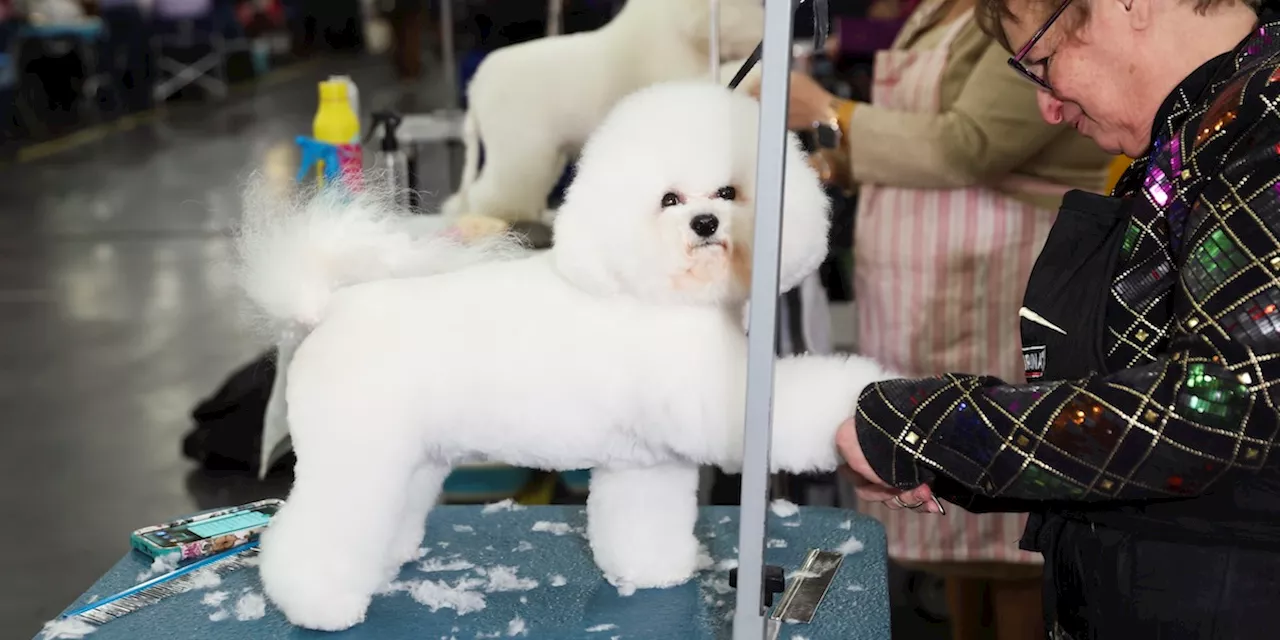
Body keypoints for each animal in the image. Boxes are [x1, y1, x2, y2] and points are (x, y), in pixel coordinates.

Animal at [235, 78, 896, 629]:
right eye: (669, 200)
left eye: (729, 191)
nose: (707, 223)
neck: (653, 288)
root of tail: (328, 308)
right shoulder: (718, 405)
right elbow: (795, 405)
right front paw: (862, 399)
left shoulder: (648, 463)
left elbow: (644, 522)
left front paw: (656, 571)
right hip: (355, 456)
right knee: (308, 537)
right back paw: (318, 605)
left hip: (409, 459)